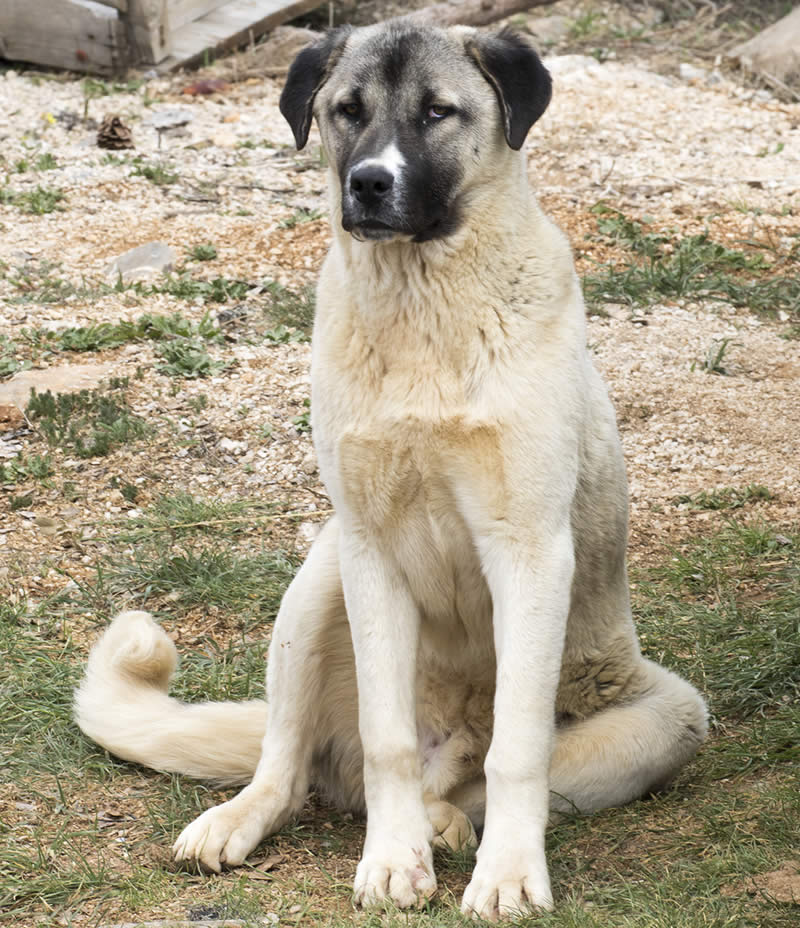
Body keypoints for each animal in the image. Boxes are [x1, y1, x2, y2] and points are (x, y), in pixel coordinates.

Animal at [76, 21, 708, 920]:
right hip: (319, 574)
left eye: (439, 111)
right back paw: (255, 820)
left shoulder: (529, 551)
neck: (424, 312)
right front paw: (391, 860)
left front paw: (507, 876)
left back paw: (451, 827)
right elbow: (388, 740)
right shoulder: (370, 547)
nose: (371, 182)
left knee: (479, 779)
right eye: (348, 110)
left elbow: (517, 750)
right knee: (290, 761)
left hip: (667, 716)